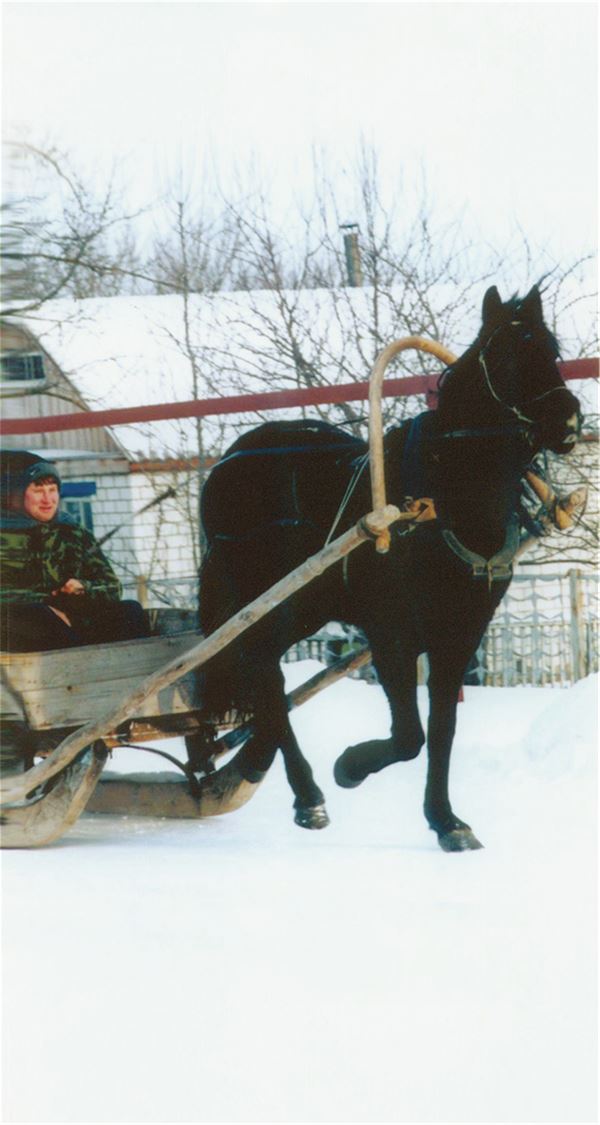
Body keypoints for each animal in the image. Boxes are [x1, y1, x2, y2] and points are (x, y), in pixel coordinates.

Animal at [189, 285, 581, 851]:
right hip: (266, 604)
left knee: (267, 680)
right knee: (264, 674)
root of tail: (226, 461)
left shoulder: (460, 633)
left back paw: (262, 761)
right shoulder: (392, 632)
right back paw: (306, 792)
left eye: (552, 350)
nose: (569, 419)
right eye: (507, 353)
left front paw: (446, 820)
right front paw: (351, 766)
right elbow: (409, 736)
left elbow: (440, 732)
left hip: (303, 606)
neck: (443, 503)